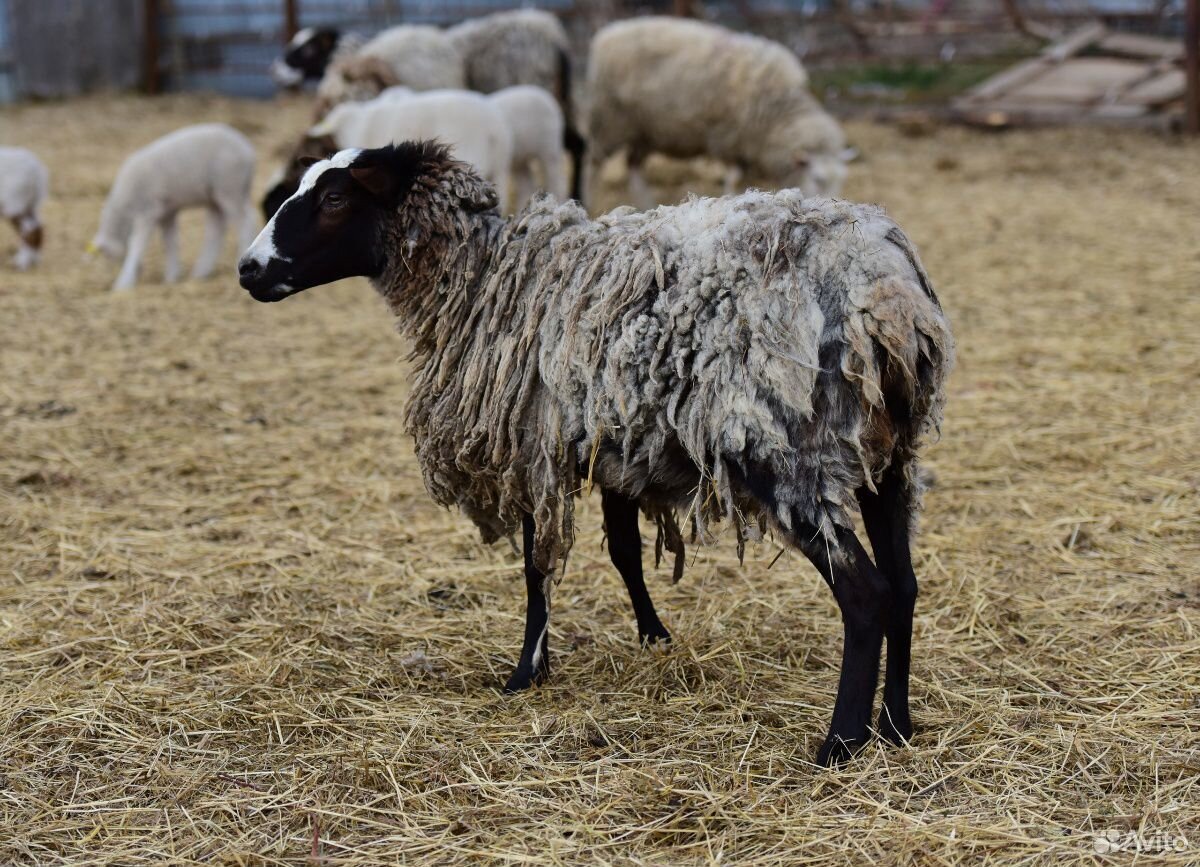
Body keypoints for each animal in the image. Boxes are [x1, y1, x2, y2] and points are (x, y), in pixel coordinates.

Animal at [90, 122, 256, 290]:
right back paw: (201, 272)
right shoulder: (167, 212)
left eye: (109, 255)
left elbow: (137, 244)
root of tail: (248, 150)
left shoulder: (147, 212)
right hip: (216, 196)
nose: (140, 270)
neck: (125, 210)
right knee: (217, 230)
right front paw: (172, 276)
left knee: (244, 222)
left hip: (229, 188)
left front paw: (123, 283)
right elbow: (170, 243)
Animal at [236, 141, 955, 763]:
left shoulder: (532, 447)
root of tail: (887, 295)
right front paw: (654, 637)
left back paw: (841, 741)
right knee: (905, 586)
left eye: (333, 197)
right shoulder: (616, 447)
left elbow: (536, 566)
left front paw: (526, 671)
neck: (483, 279)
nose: (248, 268)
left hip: (787, 455)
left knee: (865, 594)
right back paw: (896, 724)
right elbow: (625, 553)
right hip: (888, 458)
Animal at [585, 17, 849, 207]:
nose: (832, 202)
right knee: (594, 162)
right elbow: (735, 179)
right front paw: (735, 198)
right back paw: (588, 202)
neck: (778, 112)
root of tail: (605, 34)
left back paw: (646, 204)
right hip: (611, 120)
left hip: (646, 130)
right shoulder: (730, 139)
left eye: (840, 180)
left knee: (633, 166)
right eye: (818, 179)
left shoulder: (746, 147)